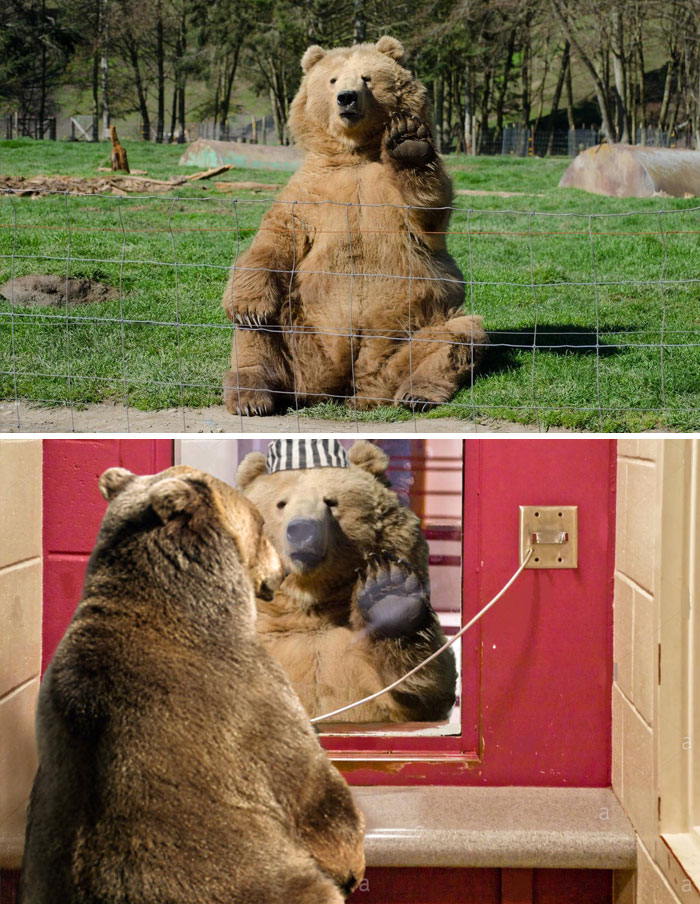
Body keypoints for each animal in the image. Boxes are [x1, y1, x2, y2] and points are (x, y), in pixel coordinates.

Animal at [222, 35, 487, 416]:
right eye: (332, 80)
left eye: (367, 78)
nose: (346, 97)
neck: (355, 154)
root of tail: (349, 385)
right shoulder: (310, 194)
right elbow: (275, 240)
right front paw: (248, 307)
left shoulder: (390, 196)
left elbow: (429, 211)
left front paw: (409, 141)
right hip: (301, 333)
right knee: (260, 334)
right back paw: (252, 394)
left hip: (417, 327)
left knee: (459, 335)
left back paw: (418, 392)